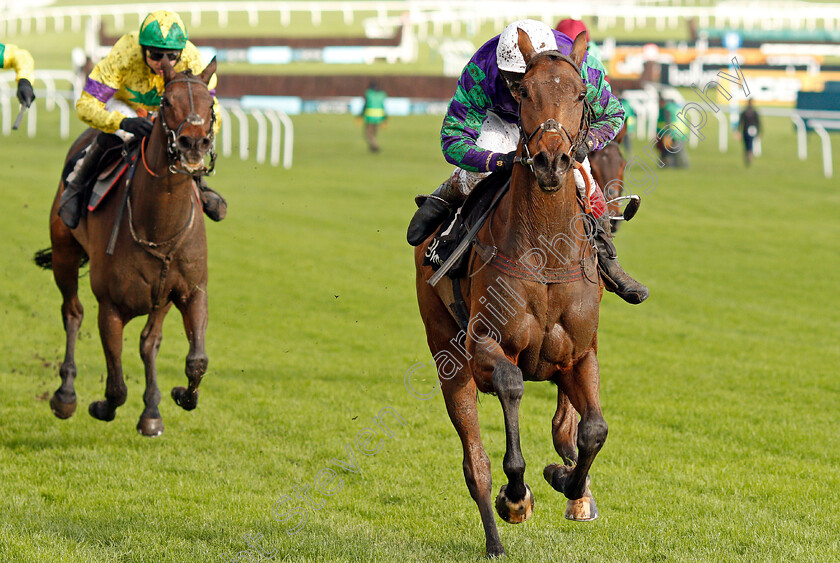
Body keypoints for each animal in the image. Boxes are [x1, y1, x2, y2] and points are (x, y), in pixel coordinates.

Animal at [36, 57, 220, 438]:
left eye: (209, 104)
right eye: (167, 102)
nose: (193, 145)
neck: (158, 225)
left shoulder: (190, 291)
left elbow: (195, 359)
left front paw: (180, 396)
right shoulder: (110, 306)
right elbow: (117, 386)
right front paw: (100, 406)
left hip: (160, 298)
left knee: (149, 341)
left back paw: (151, 409)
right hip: (63, 254)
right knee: (72, 313)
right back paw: (65, 394)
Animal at [416, 32, 608, 560]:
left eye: (580, 95)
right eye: (524, 94)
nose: (551, 160)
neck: (545, 250)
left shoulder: (581, 352)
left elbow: (593, 429)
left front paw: (567, 482)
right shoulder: (484, 345)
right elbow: (510, 385)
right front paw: (517, 496)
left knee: (568, 424)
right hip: (447, 355)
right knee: (475, 463)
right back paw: (495, 537)